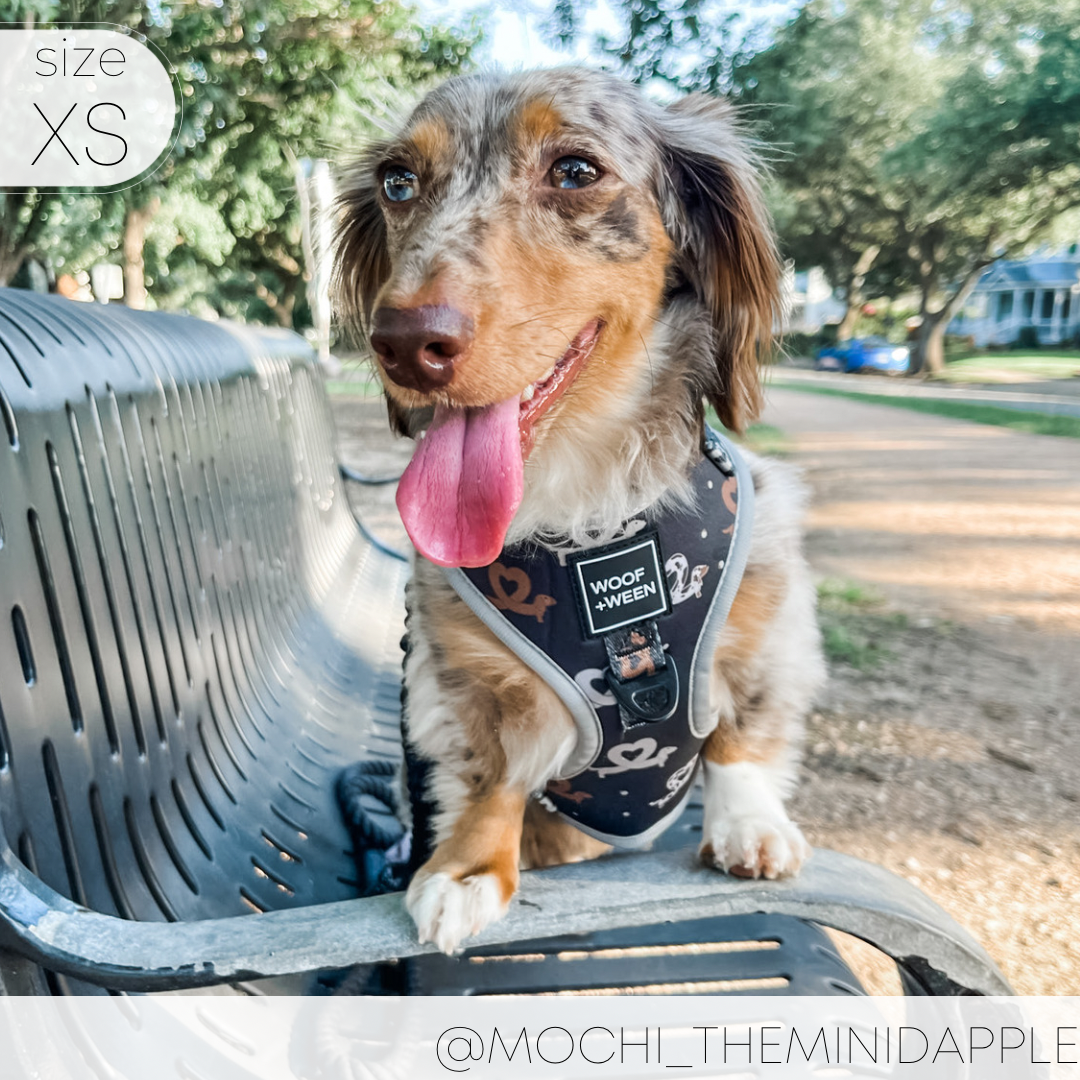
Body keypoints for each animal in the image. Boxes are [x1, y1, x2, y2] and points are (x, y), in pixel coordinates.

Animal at [332, 67, 820, 950]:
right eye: (397, 182)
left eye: (575, 171)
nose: (405, 344)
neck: (593, 521)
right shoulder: (461, 681)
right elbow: (489, 776)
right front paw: (466, 870)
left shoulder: (770, 607)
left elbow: (743, 734)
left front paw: (748, 824)